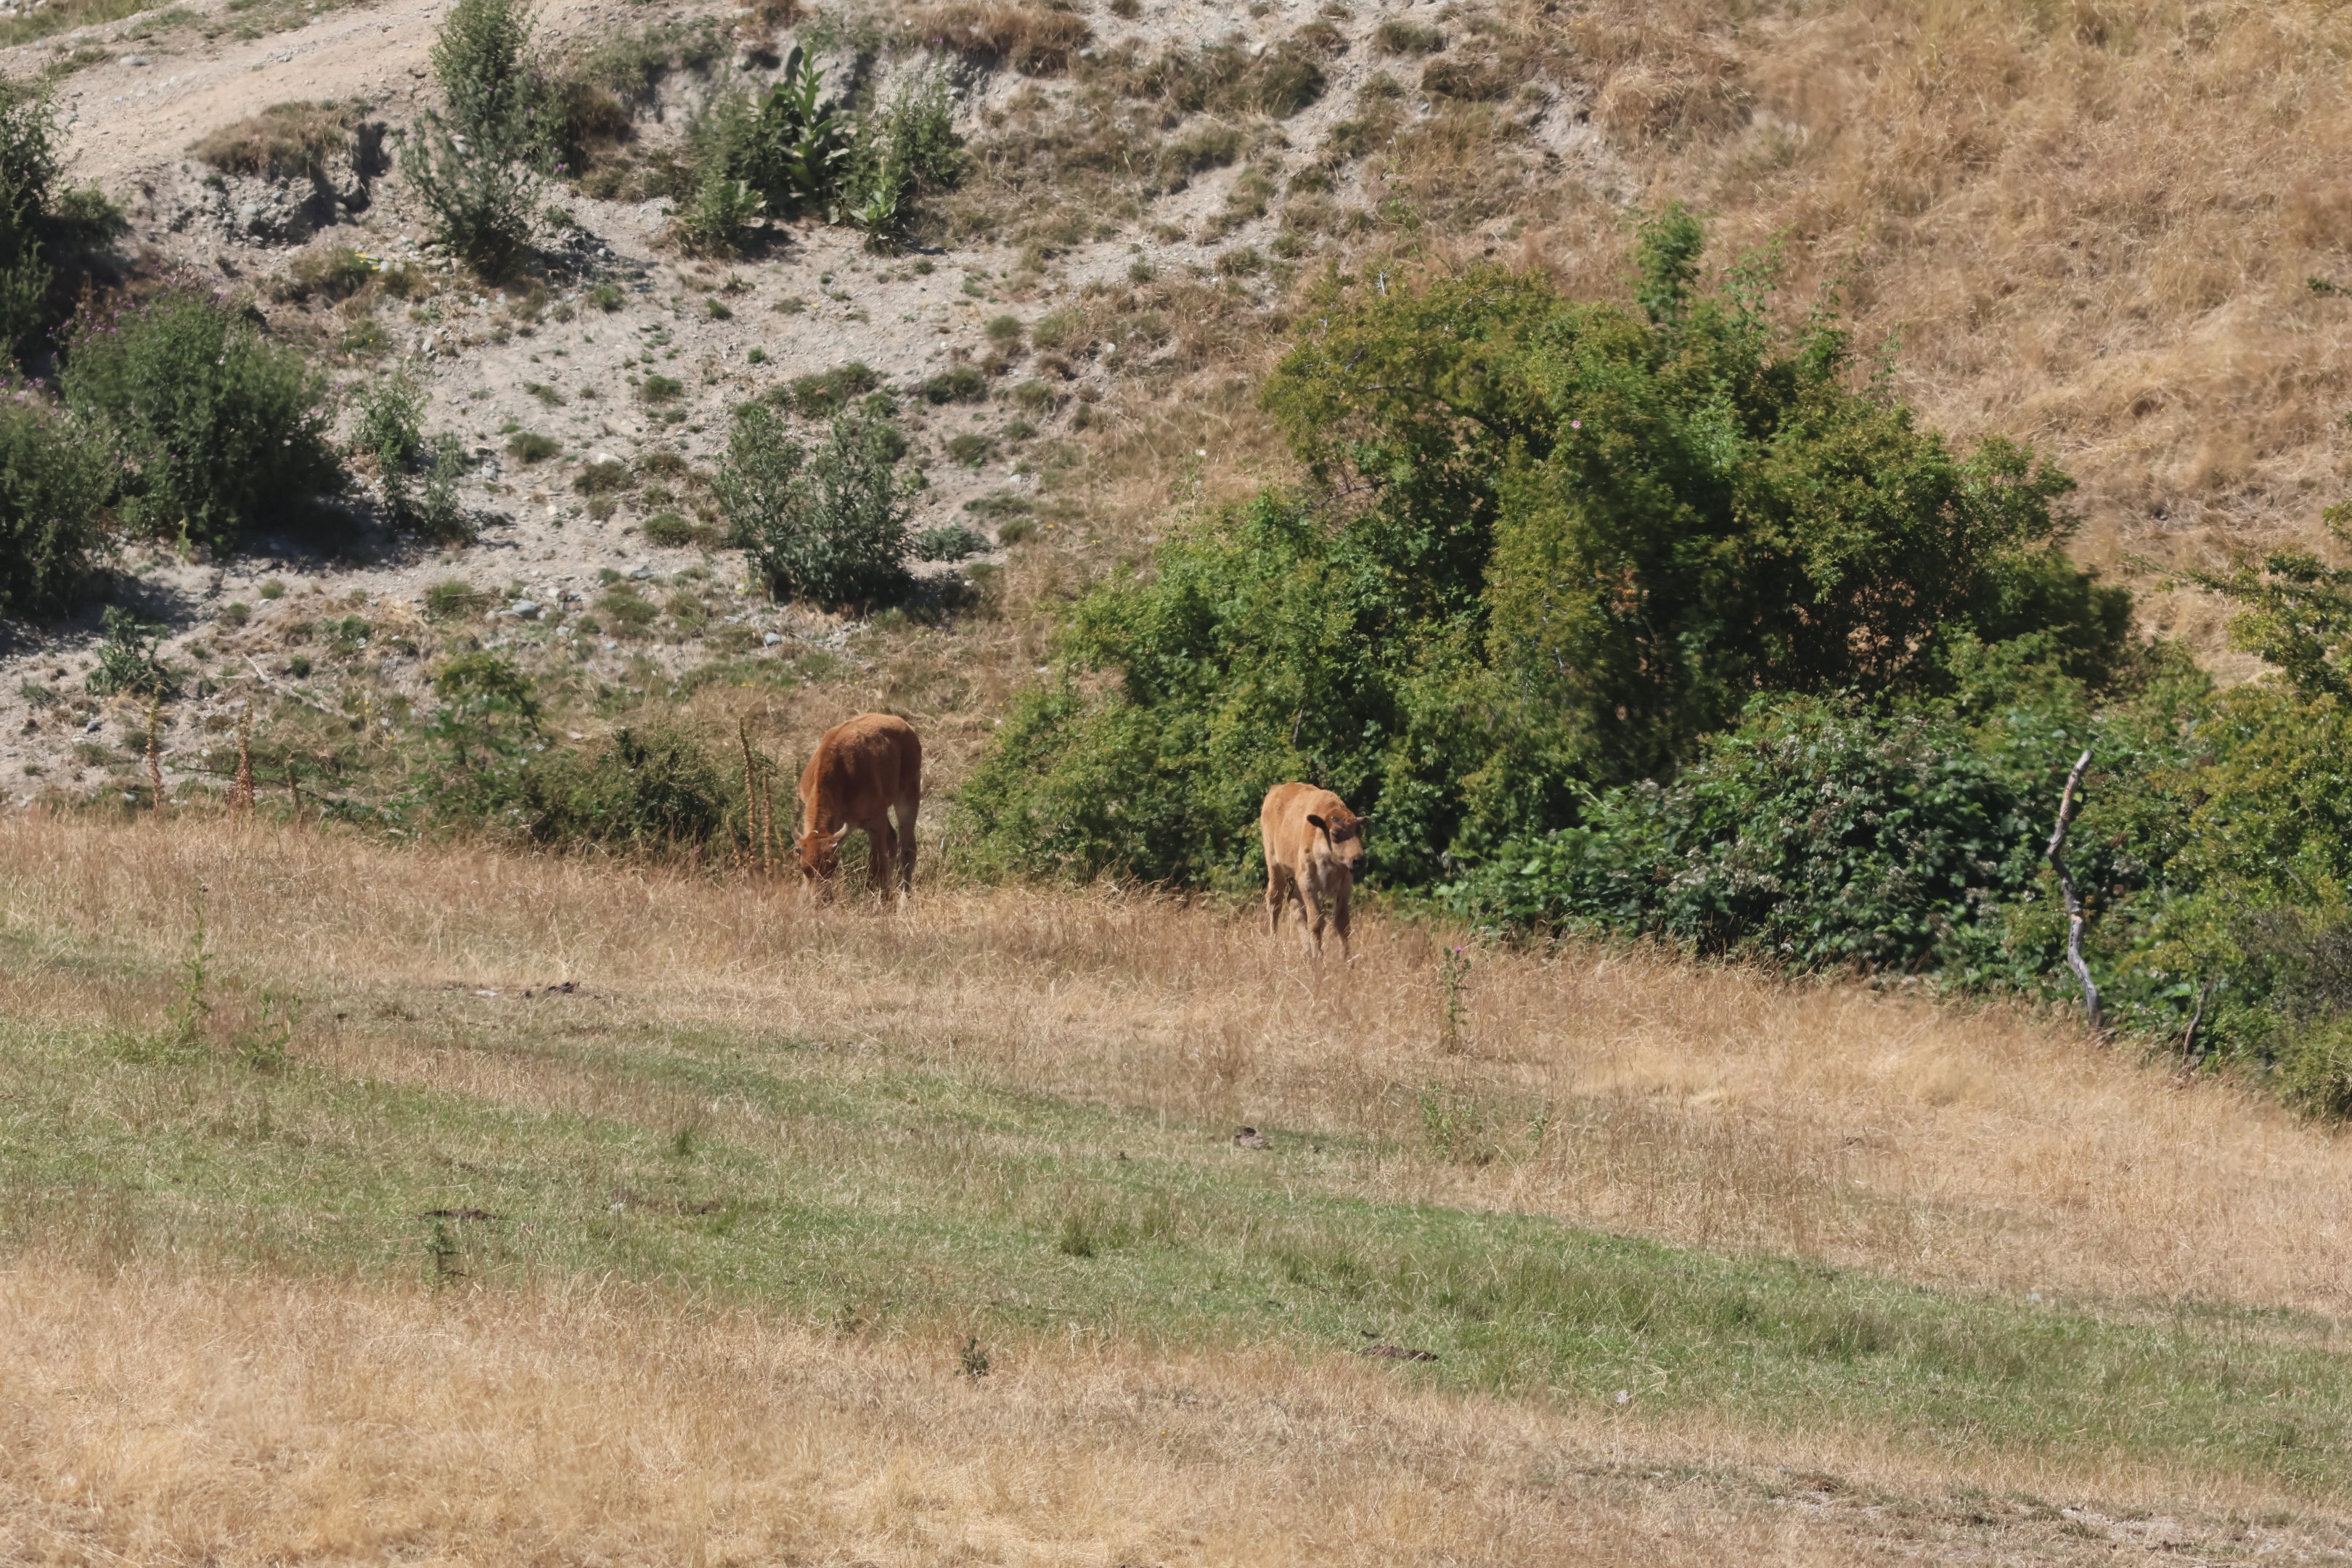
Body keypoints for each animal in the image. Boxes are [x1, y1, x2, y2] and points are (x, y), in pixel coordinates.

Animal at [794, 713, 922, 904]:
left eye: (833, 865)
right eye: (804, 868)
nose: (822, 900)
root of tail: (906, 727)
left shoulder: (875, 820)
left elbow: (878, 864)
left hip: (908, 797)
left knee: (906, 850)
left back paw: (902, 903)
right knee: (892, 841)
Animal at [1259, 782, 1368, 958]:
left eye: (1360, 831)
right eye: (1335, 834)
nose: (1359, 860)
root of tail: (1275, 789)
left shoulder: (1345, 885)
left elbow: (1343, 923)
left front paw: (1347, 960)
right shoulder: (1308, 882)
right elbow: (1316, 921)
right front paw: (1319, 958)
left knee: (1293, 902)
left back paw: (1307, 951)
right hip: (1275, 866)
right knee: (1275, 902)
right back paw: (1274, 946)